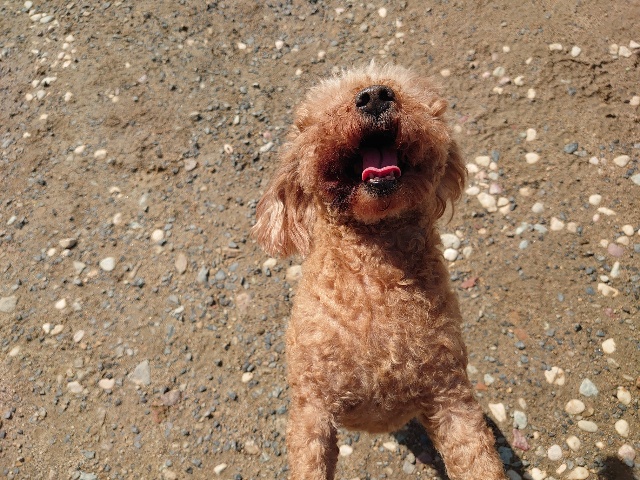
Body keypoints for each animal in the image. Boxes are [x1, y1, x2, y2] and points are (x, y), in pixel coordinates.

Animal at [252, 64, 507, 480]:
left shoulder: (451, 395)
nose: (374, 96)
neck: (375, 283)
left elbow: (478, 460)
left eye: (409, 93)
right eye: (320, 113)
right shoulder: (311, 408)